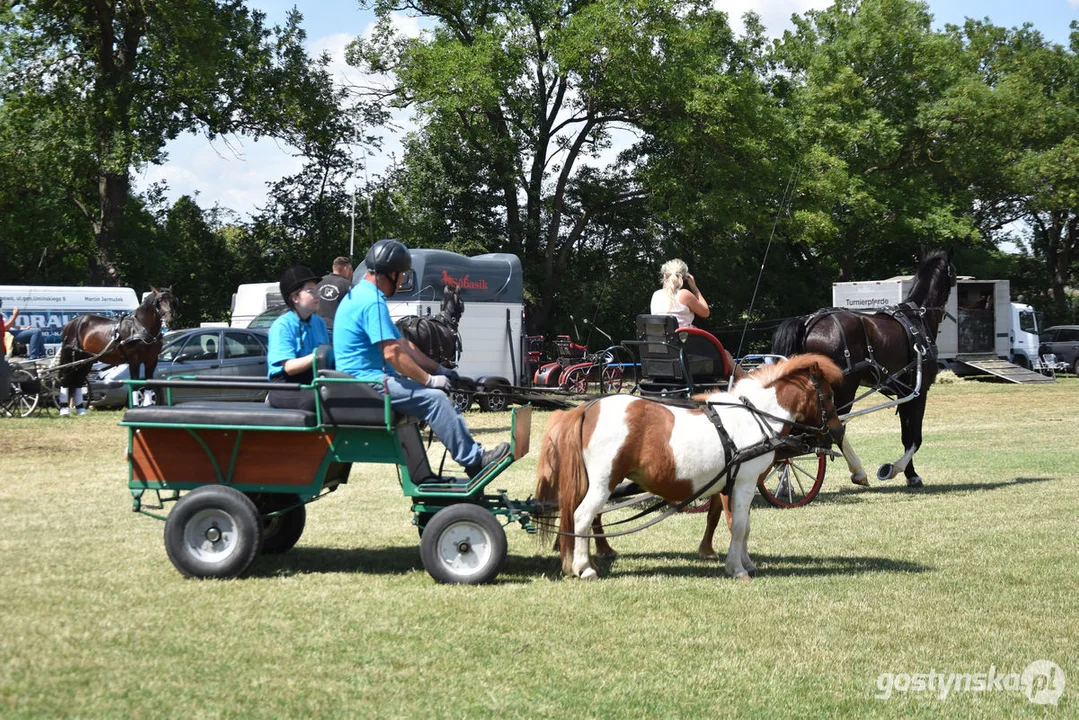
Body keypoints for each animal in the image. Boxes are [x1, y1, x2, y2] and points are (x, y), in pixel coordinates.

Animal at [535, 354, 871, 578]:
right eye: (829, 396)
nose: (837, 432)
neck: (756, 417)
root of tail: (587, 408)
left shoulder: (735, 484)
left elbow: (742, 525)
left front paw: (745, 562)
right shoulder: (745, 482)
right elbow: (739, 525)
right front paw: (737, 569)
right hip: (605, 482)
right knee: (583, 516)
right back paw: (584, 567)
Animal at [772, 249, 958, 490]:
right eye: (953, 273)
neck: (919, 318)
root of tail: (807, 323)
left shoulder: (904, 392)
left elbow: (906, 436)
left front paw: (909, 474)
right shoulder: (919, 392)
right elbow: (915, 438)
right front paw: (897, 470)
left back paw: (784, 476)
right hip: (844, 389)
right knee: (835, 428)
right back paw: (857, 471)